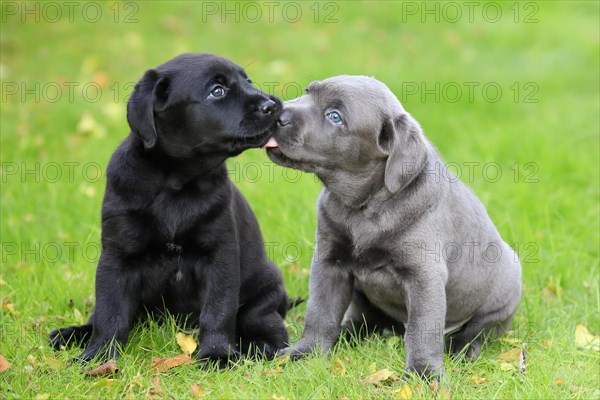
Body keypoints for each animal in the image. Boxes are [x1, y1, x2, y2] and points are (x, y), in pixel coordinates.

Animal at [51, 52, 292, 366]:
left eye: (247, 81)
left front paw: (217, 354)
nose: (273, 105)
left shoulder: (220, 256)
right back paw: (72, 334)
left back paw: (261, 346)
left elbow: (218, 311)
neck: (176, 185)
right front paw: (99, 356)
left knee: (267, 324)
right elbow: (109, 313)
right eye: (217, 90)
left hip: (264, 291)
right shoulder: (117, 257)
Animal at [264, 75, 524, 378]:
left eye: (335, 116)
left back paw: (462, 348)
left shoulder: (424, 275)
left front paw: (424, 373)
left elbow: (422, 329)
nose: (276, 112)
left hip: (504, 290)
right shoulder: (329, 263)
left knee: (478, 330)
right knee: (364, 320)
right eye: (307, 92)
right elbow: (321, 312)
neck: (363, 207)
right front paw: (307, 352)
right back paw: (346, 333)